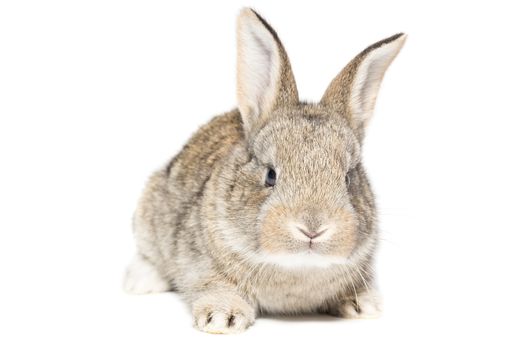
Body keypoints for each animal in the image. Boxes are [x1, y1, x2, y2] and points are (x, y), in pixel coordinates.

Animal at [123, 7, 406, 334]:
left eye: (348, 179)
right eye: (270, 175)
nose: (312, 228)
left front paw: (364, 305)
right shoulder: (200, 263)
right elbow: (214, 285)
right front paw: (222, 319)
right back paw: (141, 281)